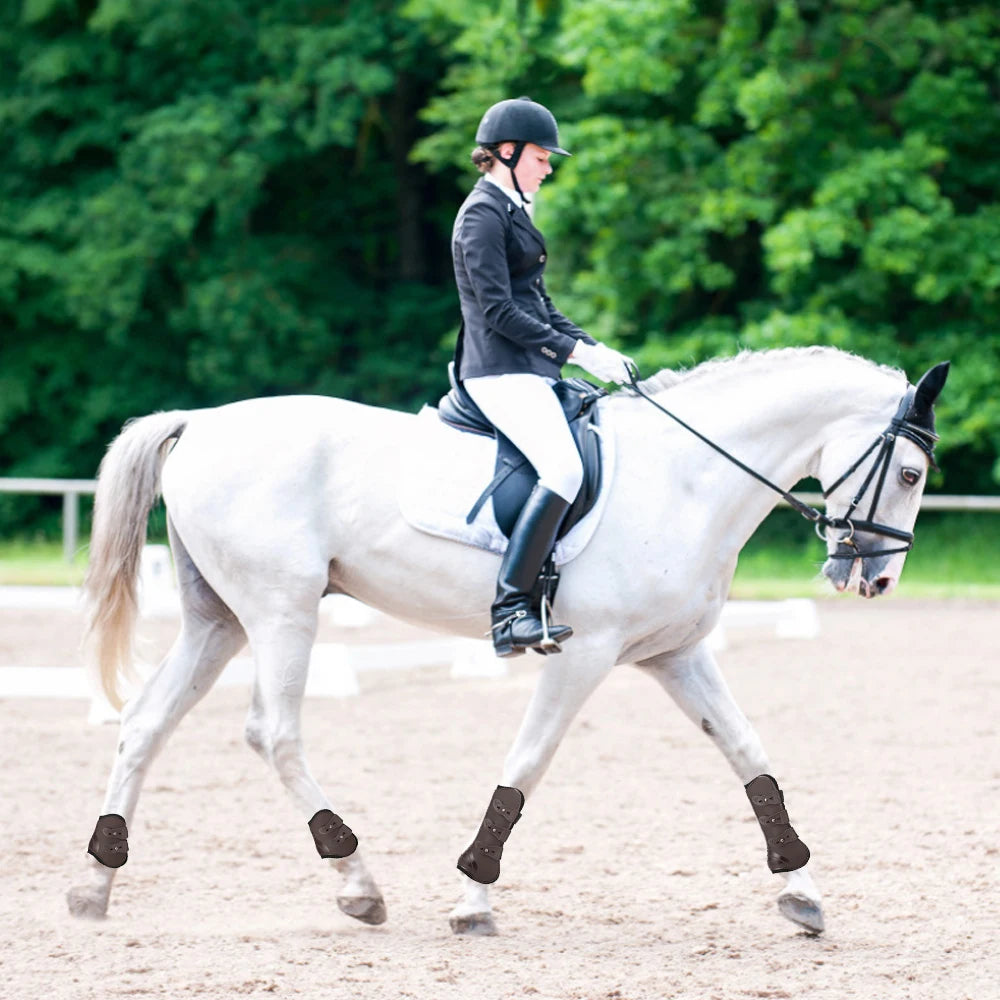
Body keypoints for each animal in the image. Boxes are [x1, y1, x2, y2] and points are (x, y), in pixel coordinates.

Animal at [66, 346, 948, 936]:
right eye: (909, 474)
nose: (874, 580)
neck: (686, 479)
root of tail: (200, 423)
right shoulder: (584, 652)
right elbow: (527, 764)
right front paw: (473, 898)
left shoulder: (675, 653)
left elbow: (749, 753)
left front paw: (801, 890)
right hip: (282, 609)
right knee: (272, 731)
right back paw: (357, 881)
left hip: (217, 618)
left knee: (145, 722)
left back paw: (94, 884)